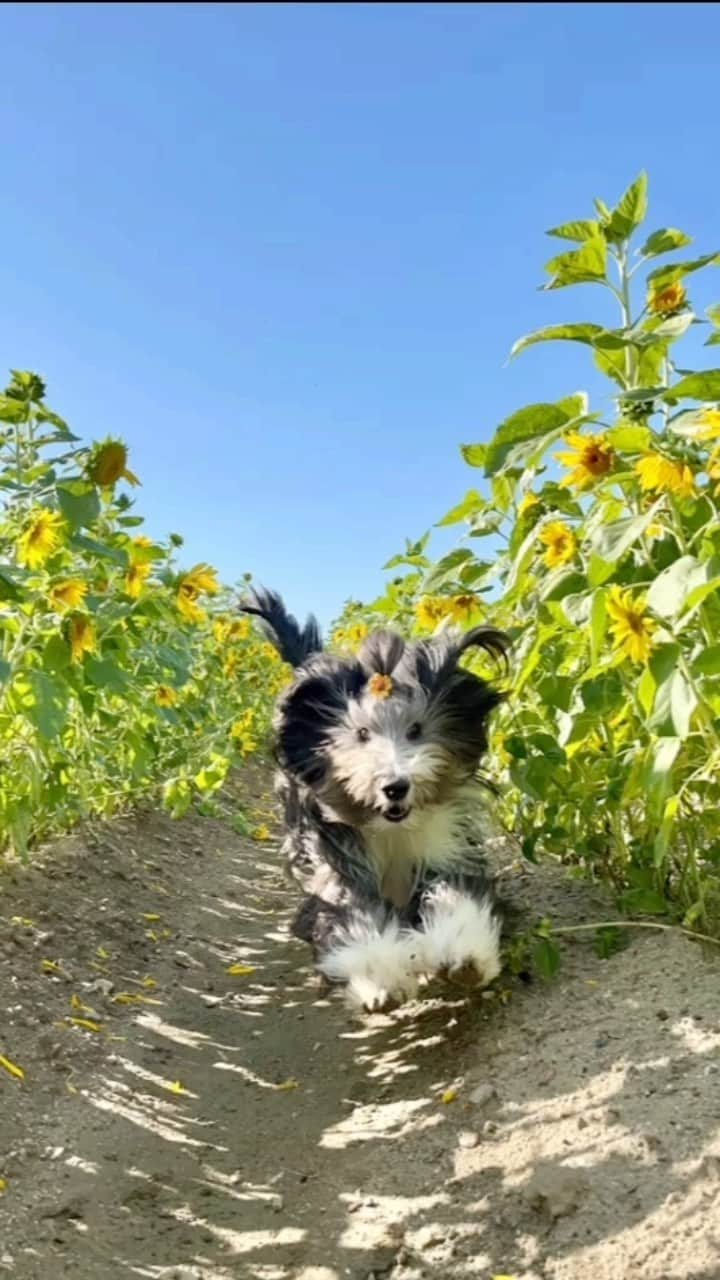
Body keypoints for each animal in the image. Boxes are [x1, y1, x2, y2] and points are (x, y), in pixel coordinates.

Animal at [238, 586, 507, 1013]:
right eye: (362, 733)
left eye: (416, 730)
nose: (395, 786)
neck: (391, 831)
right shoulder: (337, 868)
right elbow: (356, 919)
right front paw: (382, 980)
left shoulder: (447, 849)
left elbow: (456, 895)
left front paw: (464, 959)